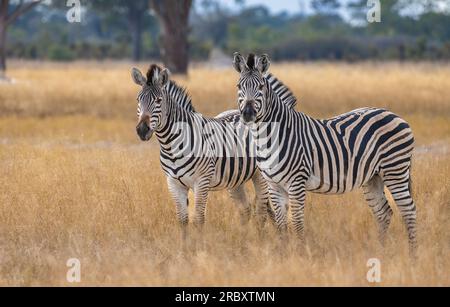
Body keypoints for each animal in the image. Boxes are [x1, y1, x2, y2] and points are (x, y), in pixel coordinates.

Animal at [130, 64, 270, 243]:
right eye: (138, 100)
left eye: (158, 101)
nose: (142, 130)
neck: (172, 145)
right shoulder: (173, 183)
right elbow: (182, 220)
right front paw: (185, 249)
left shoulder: (201, 182)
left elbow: (198, 219)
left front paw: (200, 248)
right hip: (235, 179)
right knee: (245, 210)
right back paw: (243, 243)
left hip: (260, 175)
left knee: (261, 211)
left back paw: (261, 243)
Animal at [232, 53, 418, 258]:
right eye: (239, 86)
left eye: (261, 87)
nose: (247, 114)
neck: (271, 136)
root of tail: (394, 114)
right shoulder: (274, 185)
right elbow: (281, 225)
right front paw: (283, 255)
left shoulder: (297, 182)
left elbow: (296, 222)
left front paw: (301, 255)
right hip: (373, 177)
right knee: (384, 213)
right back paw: (380, 251)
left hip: (395, 170)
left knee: (409, 211)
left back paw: (412, 256)